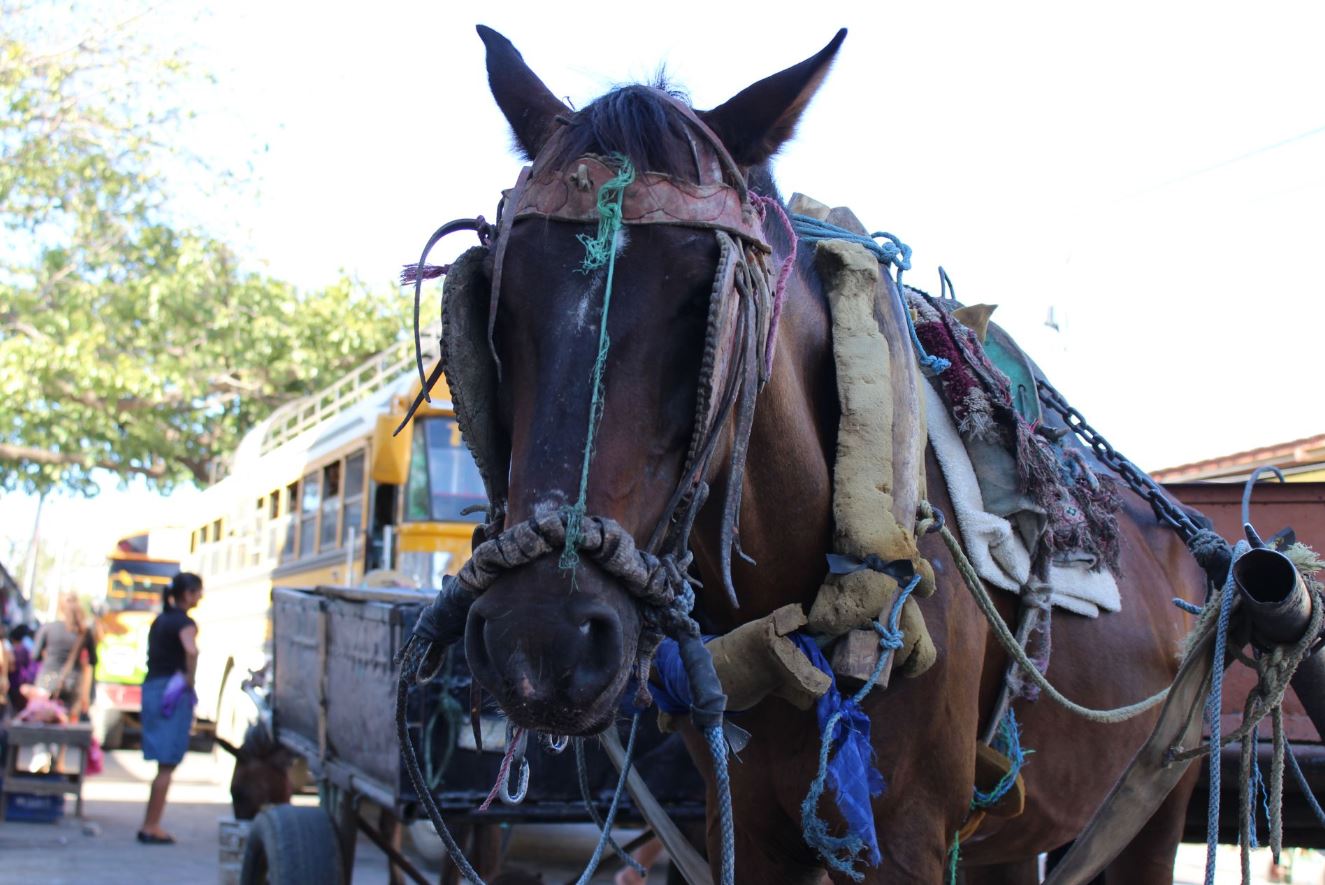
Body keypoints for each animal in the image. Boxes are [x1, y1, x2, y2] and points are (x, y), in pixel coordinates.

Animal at [452, 25, 1208, 883]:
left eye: (705, 301)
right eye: (499, 302)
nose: (539, 642)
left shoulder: (904, 839)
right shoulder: (746, 825)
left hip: (1156, 799)